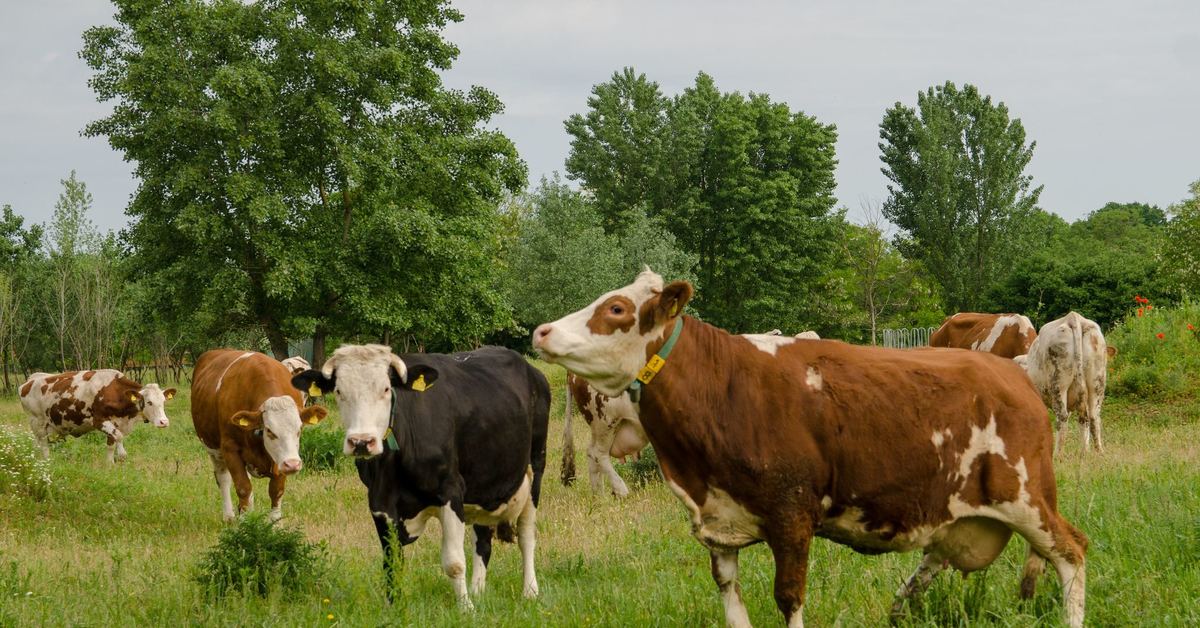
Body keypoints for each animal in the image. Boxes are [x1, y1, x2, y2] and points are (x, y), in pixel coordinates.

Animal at [19, 372, 175, 463]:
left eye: (163, 401)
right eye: (149, 402)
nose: (164, 422)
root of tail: (31, 379)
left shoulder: (115, 423)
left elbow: (112, 443)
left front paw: (110, 465)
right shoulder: (98, 421)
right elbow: (119, 437)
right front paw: (120, 456)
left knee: (37, 445)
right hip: (37, 422)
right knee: (44, 445)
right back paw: (47, 462)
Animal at [194, 350, 331, 523]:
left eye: (299, 429)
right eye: (269, 430)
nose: (293, 464)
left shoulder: (280, 458)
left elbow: (276, 490)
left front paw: (275, 524)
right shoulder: (230, 449)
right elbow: (243, 488)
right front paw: (246, 524)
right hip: (213, 449)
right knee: (223, 478)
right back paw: (229, 516)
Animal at [290, 343, 552, 609]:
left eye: (386, 389)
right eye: (339, 391)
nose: (361, 442)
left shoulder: (451, 491)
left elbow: (454, 562)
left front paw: (465, 608)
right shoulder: (379, 501)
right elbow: (392, 561)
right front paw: (393, 606)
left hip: (536, 467)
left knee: (526, 535)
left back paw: (530, 591)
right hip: (484, 483)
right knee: (483, 541)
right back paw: (478, 591)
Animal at [535, 270, 1089, 628]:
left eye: (616, 309)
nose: (541, 330)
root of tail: (1014, 375)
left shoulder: (791, 516)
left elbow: (789, 599)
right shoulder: (718, 528)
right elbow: (733, 605)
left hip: (1026, 497)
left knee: (1071, 551)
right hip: (960, 509)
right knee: (938, 559)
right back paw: (899, 607)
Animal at [1012, 312, 1113, 456]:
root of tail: (1073, 317)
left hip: (1058, 383)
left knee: (1062, 418)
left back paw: (1058, 455)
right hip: (1097, 382)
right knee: (1093, 417)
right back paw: (1093, 452)